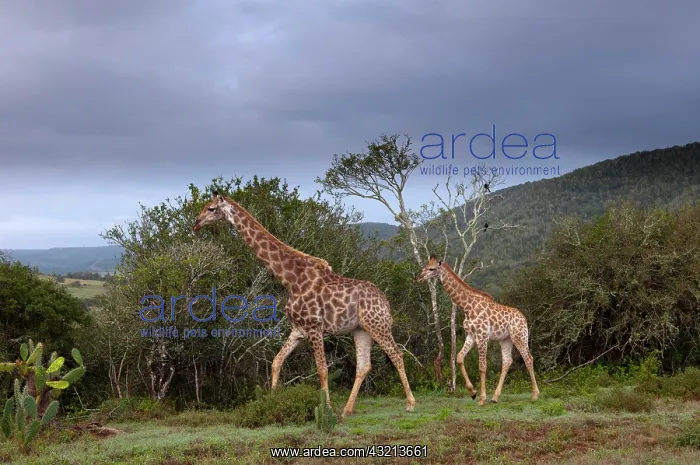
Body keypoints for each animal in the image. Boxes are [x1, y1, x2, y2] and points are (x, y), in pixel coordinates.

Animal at [192, 192, 416, 417]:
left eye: (211, 208)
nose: (196, 223)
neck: (290, 279)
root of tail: (385, 302)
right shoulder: (298, 329)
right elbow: (277, 361)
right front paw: (271, 402)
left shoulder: (314, 327)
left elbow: (322, 369)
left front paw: (327, 408)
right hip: (361, 329)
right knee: (364, 365)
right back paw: (347, 409)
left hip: (377, 325)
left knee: (396, 354)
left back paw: (410, 403)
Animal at [417, 256, 539, 405]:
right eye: (425, 266)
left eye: (431, 269)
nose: (419, 278)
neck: (467, 307)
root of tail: (524, 319)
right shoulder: (471, 335)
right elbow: (459, 358)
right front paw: (473, 392)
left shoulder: (482, 335)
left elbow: (482, 366)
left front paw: (481, 398)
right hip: (505, 340)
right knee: (507, 361)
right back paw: (495, 397)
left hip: (519, 336)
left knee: (528, 358)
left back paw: (535, 395)